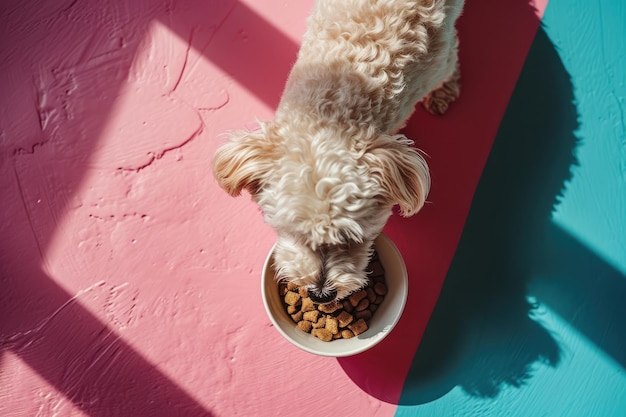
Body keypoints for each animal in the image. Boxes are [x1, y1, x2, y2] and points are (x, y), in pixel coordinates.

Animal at [212, 0, 460, 302]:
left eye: (354, 239)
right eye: (293, 233)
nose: (321, 294)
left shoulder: (443, 59)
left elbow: (448, 70)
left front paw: (443, 92)